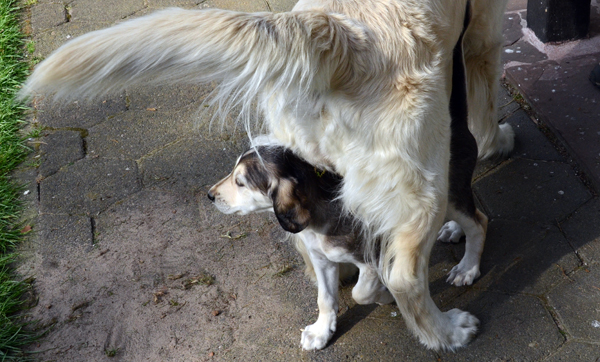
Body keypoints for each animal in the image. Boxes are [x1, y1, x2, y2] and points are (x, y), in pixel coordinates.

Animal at [21, 0, 512, 350]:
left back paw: (458, 290)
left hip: (425, 185)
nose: (209, 195)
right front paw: (323, 327)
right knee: (434, 248)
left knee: (462, 231)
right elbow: (328, 292)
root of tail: (335, 32)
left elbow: (366, 283)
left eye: (242, 182)